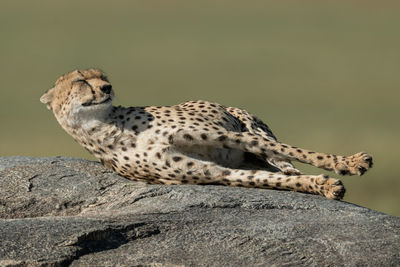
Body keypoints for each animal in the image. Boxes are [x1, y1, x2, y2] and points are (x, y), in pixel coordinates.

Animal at [40, 69, 372, 201]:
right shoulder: (215, 173)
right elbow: (266, 180)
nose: (107, 88)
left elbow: (300, 152)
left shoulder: (224, 135)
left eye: (104, 77)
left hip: (248, 124)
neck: (106, 128)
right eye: (81, 80)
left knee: (279, 154)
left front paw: (349, 163)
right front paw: (322, 185)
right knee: (277, 168)